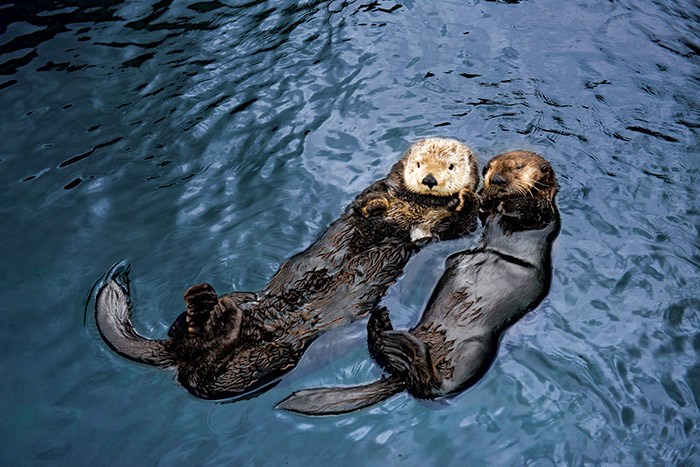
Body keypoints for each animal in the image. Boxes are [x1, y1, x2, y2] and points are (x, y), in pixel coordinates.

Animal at [94, 137, 482, 400]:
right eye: (417, 165)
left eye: (450, 167)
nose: (430, 179)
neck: (414, 207)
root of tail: (180, 354)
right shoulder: (379, 193)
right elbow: (366, 203)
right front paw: (374, 205)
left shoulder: (443, 230)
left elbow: (460, 221)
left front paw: (464, 199)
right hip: (247, 311)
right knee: (192, 353)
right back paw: (203, 308)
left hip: (268, 361)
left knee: (205, 379)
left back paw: (218, 319)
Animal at [276, 150, 560, 416]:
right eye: (489, 168)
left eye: (518, 167)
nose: (497, 179)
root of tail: (402, 372)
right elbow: (480, 212)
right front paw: (472, 197)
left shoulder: (547, 216)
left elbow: (534, 211)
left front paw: (508, 202)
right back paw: (382, 330)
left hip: (475, 353)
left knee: (432, 386)